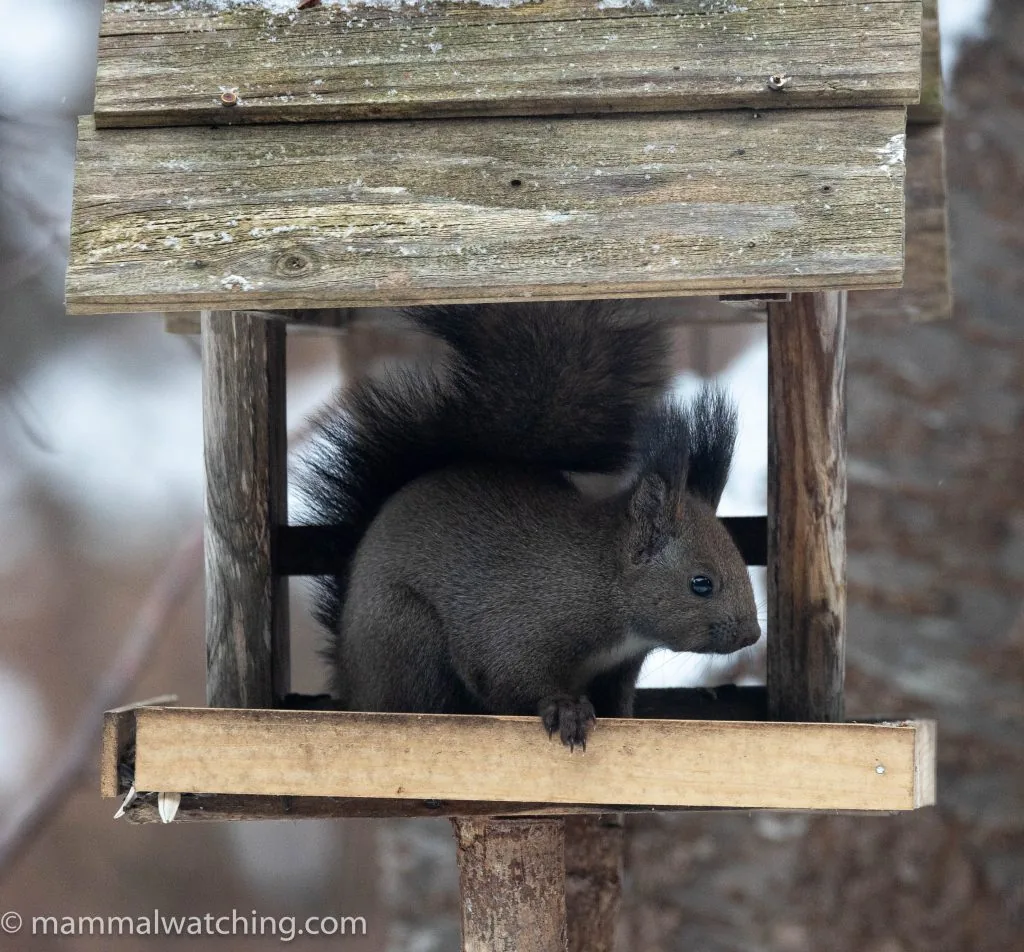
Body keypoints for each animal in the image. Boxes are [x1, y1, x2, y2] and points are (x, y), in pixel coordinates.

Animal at [297, 302, 760, 750]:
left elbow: (615, 699)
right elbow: (511, 677)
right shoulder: (520, 623)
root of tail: (350, 679)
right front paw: (565, 710)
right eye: (701, 584)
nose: (752, 635)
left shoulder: (618, 668)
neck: (604, 586)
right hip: (406, 633)